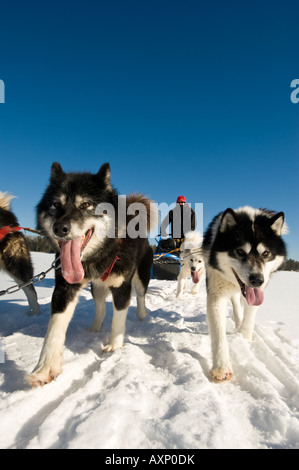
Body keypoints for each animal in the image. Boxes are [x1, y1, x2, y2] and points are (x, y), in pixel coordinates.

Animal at [27, 163, 158, 388]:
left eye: (86, 204)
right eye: (55, 204)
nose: (60, 228)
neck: (99, 256)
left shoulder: (122, 287)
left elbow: (118, 318)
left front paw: (114, 345)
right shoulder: (65, 288)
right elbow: (55, 326)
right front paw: (45, 367)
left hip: (141, 276)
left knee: (140, 296)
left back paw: (142, 315)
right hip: (97, 287)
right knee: (100, 306)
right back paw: (95, 328)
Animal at [204, 206, 288, 382]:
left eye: (266, 253)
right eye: (240, 251)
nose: (257, 280)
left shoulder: (259, 291)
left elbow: (250, 315)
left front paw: (245, 336)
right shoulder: (216, 291)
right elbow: (218, 332)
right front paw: (221, 366)